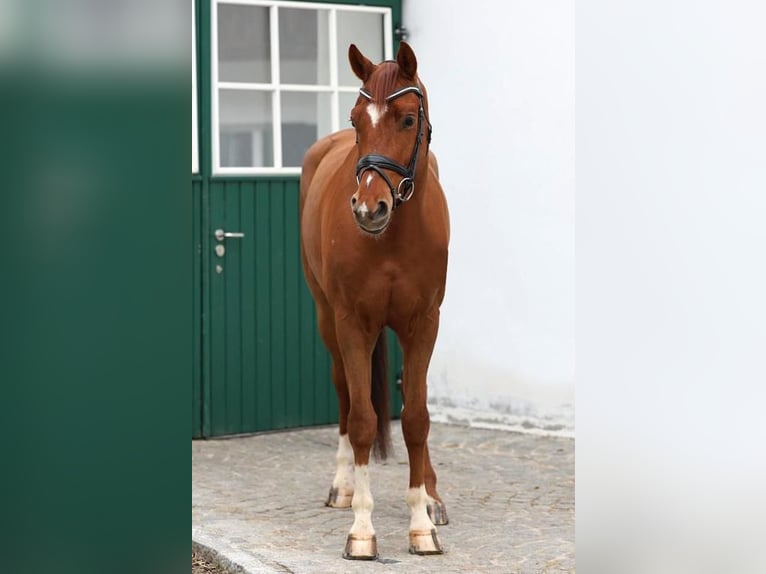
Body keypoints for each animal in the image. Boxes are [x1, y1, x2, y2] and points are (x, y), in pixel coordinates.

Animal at [298, 41, 450, 564]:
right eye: (355, 118)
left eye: (407, 119)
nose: (368, 209)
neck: (395, 237)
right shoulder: (351, 324)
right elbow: (363, 418)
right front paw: (362, 530)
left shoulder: (424, 324)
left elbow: (418, 418)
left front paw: (422, 523)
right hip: (327, 321)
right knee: (346, 393)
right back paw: (343, 486)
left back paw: (434, 497)